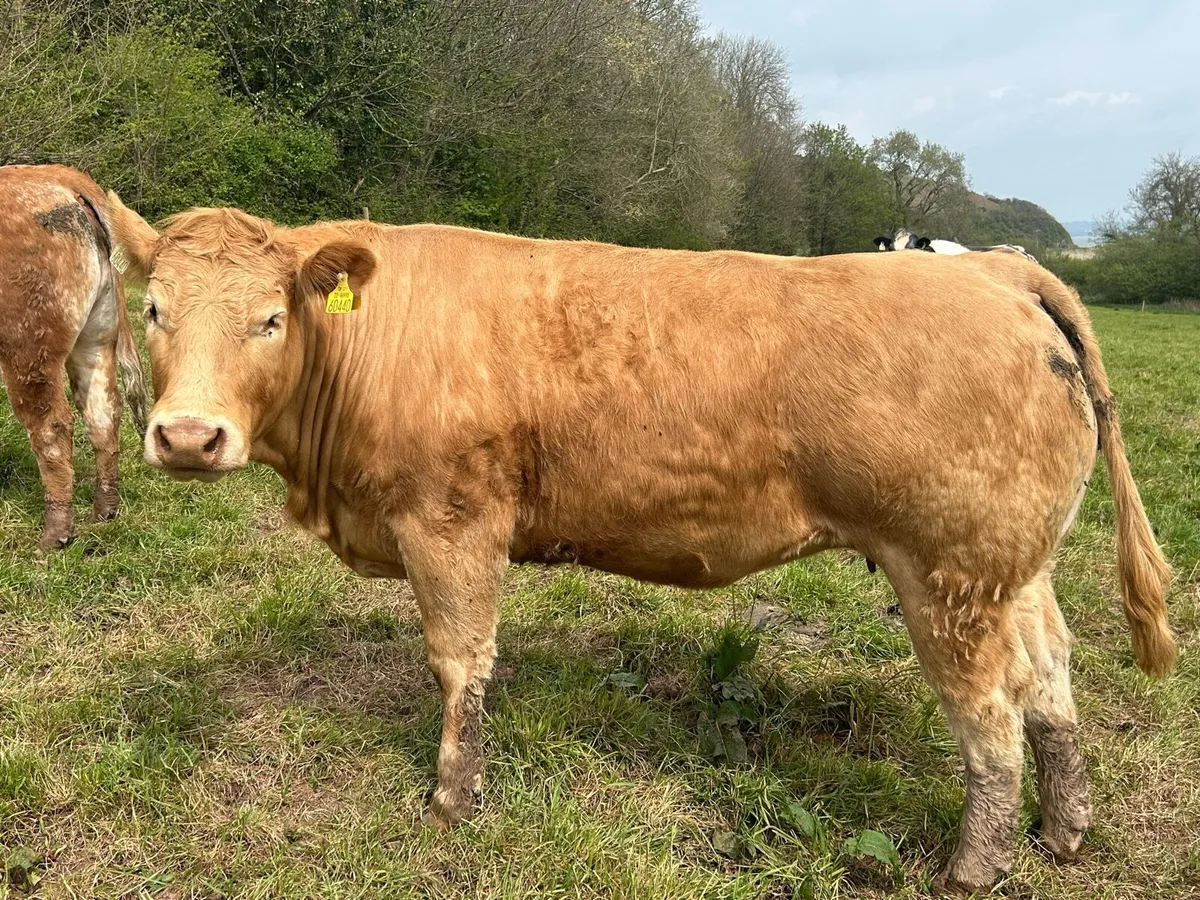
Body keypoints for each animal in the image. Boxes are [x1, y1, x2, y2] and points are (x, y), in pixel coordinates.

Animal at [0, 166, 147, 550]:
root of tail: (61, 177)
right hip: (95, 338)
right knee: (103, 413)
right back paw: (105, 511)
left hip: (28, 348)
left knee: (51, 426)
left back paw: (56, 534)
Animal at [105, 196, 1174, 894]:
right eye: (153, 310)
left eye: (270, 318)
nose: (189, 436)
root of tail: (993, 267)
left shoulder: (449, 522)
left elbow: (460, 663)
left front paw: (455, 800)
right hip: (1014, 572)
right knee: (1052, 682)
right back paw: (1062, 833)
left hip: (950, 576)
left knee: (991, 718)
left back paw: (973, 867)